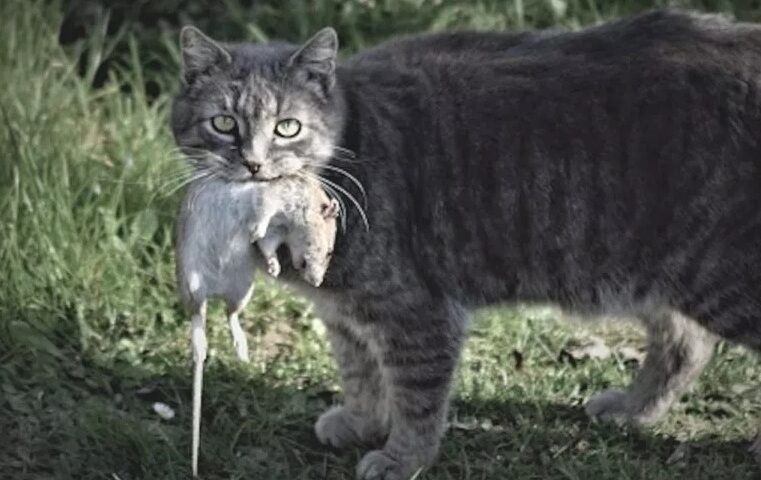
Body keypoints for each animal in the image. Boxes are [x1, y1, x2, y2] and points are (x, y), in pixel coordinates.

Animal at [177, 175, 336, 476]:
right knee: (198, 318)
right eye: (330, 250)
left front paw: (273, 266)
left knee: (230, 315)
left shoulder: (276, 234)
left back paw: (241, 350)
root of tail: (214, 290)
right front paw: (252, 232)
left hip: (242, 289)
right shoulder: (272, 198)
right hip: (189, 275)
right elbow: (263, 214)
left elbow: (267, 245)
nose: (318, 282)